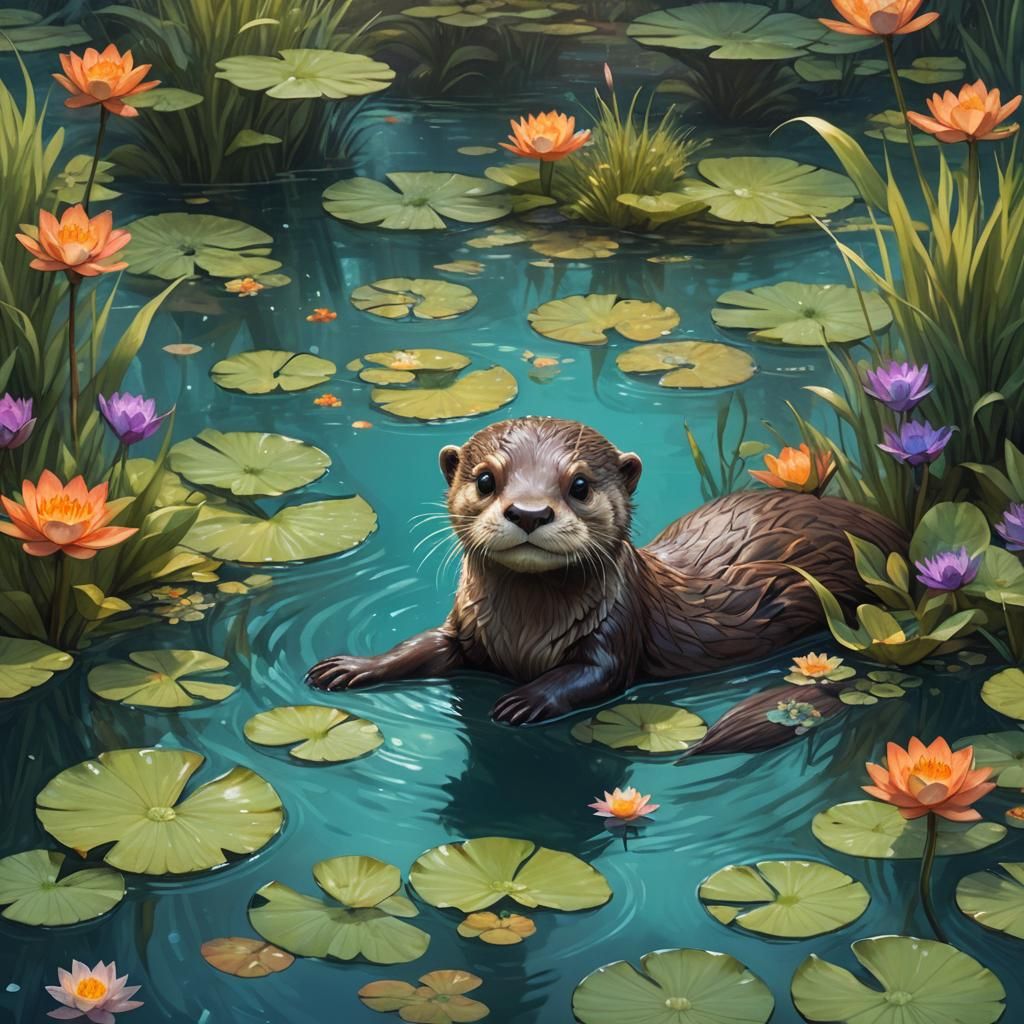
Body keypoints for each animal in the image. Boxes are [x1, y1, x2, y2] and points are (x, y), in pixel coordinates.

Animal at [308, 417, 906, 725]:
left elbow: (594, 675)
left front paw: (526, 699)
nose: (530, 512)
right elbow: (421, 645)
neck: (523, 633)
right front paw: (352, 666)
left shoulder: (618, 628)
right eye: (485, 479)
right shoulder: (466, 627)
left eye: (579, 484)